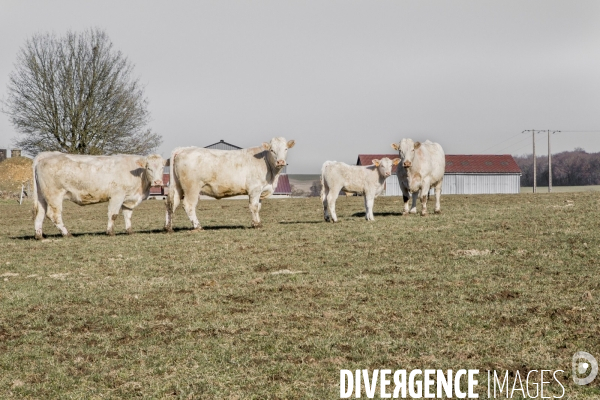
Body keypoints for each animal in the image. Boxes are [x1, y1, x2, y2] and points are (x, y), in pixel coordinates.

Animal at [34, 152, 168, 241]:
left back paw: (39, 236)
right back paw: (67, 234)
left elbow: (128, 215)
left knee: (39, 214)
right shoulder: (117, 196)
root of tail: (46, 156)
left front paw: (129, 231)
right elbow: (113, 215)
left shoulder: (129, 198)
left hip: (42, 197)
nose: (158, 182)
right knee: (54, 215)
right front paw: (110, 232)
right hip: (54, 195)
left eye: (162, 167)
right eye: (149, 168)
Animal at [164, 138, 296, 231]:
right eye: (272, 150)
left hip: (177, 187)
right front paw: (256, 225)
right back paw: (198, 226)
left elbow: (258, 207)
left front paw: (258, 223)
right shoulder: (254, 189)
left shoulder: (261, 191)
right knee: (188, 205)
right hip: (192, 187)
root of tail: (183, 148)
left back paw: (168, 227)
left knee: (171, 203)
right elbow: (253, 207)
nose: (280, 161)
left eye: (286, 149)